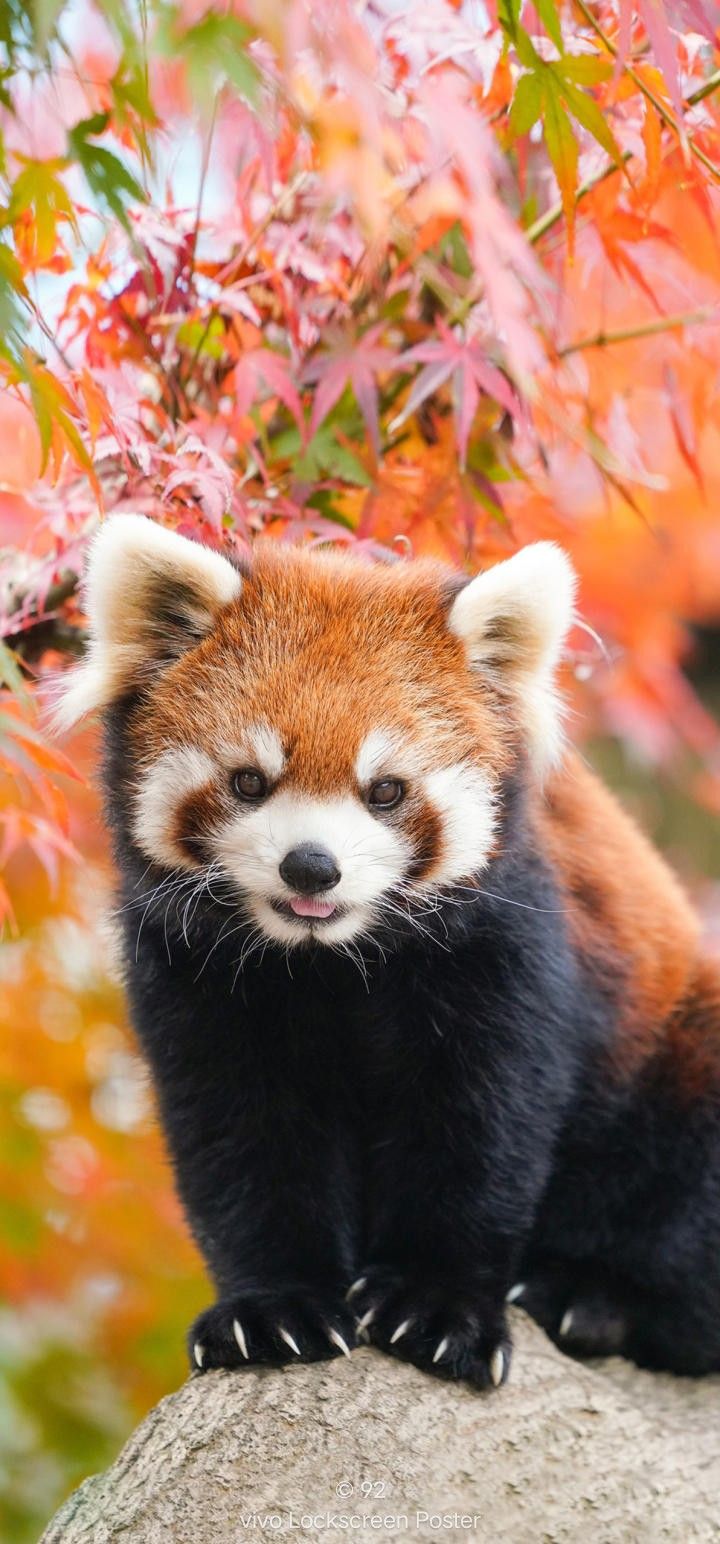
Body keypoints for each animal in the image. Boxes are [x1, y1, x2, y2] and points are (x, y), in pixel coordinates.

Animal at [56, 515, 720, 1389]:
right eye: (249, 781)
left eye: (387, 791)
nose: (311, 865)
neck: (333, 960)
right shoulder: (194, 974)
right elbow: (242, 1134)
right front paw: (274, 1306)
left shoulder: (511, 950)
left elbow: (478, 1127)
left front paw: (434, 1305)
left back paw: (592, 1297)